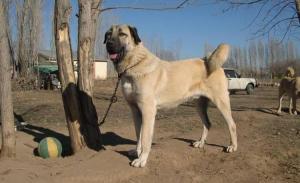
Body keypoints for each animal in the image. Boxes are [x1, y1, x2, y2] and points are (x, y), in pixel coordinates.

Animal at [104, 24, 238, 167]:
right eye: (108, 34)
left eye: (122, 34)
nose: (109, 44)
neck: (134, 63)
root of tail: (207, 60)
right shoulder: (135, 111)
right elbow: (138, 135)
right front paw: (137, 151)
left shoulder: (147, 111)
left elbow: (145, 138)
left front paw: (142, 159)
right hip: (199, 105)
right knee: (207, 123)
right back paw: (201, 143)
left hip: (221, 102)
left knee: (232, 125)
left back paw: (232, 146)